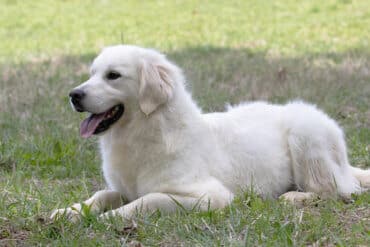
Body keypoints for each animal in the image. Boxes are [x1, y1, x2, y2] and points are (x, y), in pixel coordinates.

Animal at [50, 45, 368, 221]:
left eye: (113, 76)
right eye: (92, 73)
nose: (74, 95)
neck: (142, 133)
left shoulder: (210, 196)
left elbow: (146, 200)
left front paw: (110, 219)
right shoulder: (120, 188)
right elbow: (101, 194)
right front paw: (70, 212)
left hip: (305, 135)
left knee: (337, 191)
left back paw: (293, 197)